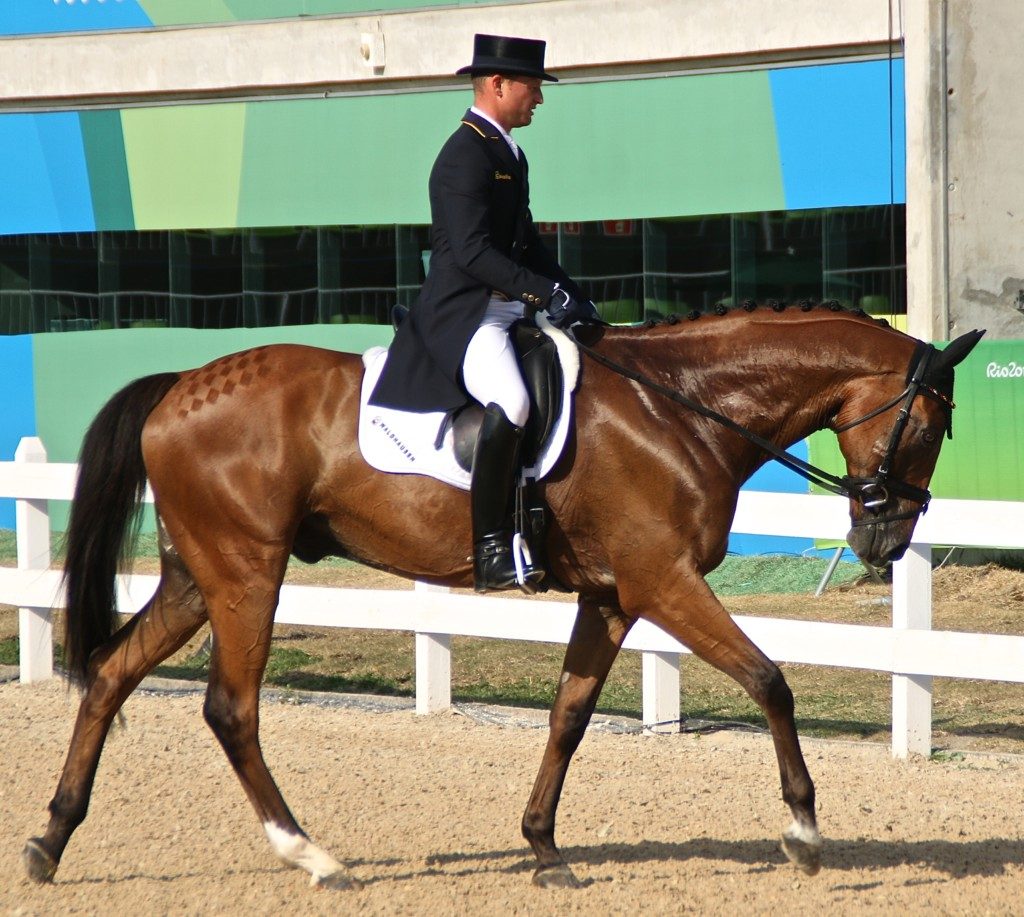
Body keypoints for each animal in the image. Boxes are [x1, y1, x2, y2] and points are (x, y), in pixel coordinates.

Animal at [24, 307, 978, 888]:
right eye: (932, 426)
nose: (886, 543)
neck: (683, 408)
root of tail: (181, 383)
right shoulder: (663, 578)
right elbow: (770, 679)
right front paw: (805, 831)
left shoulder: (612, 595)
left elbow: (569, 715)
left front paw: (544, 845)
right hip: (248, 573)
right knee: (231, 707)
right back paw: (312, 854)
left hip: (198, 576)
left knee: (110, 675)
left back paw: (50, 839)